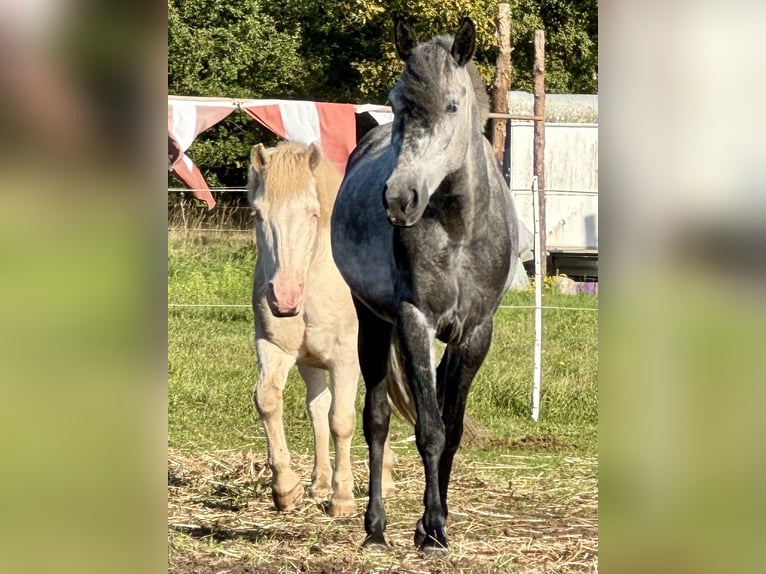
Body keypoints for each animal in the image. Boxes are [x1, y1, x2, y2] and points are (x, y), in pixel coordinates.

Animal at [249, 143, 396, 516]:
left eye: (313, 213)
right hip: (309, 362)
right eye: (258, 214)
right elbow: (269, 400)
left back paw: (385, 480)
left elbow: (341, 420)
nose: (284, 297)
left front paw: (342, 498)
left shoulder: (346, 359)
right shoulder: (274, 348)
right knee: (317, 408)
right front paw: (287, 488)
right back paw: (319, 483)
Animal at [332, 18, 520, 552]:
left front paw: (435, 523)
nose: (399, 199)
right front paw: (432, 525)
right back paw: (375, 528)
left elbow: (451, 429)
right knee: (377, 420)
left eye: (453, 105)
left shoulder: (474, 332)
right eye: (396, 104)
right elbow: (429, 430)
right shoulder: (416, 321)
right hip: (372, 322)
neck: (458, 229)